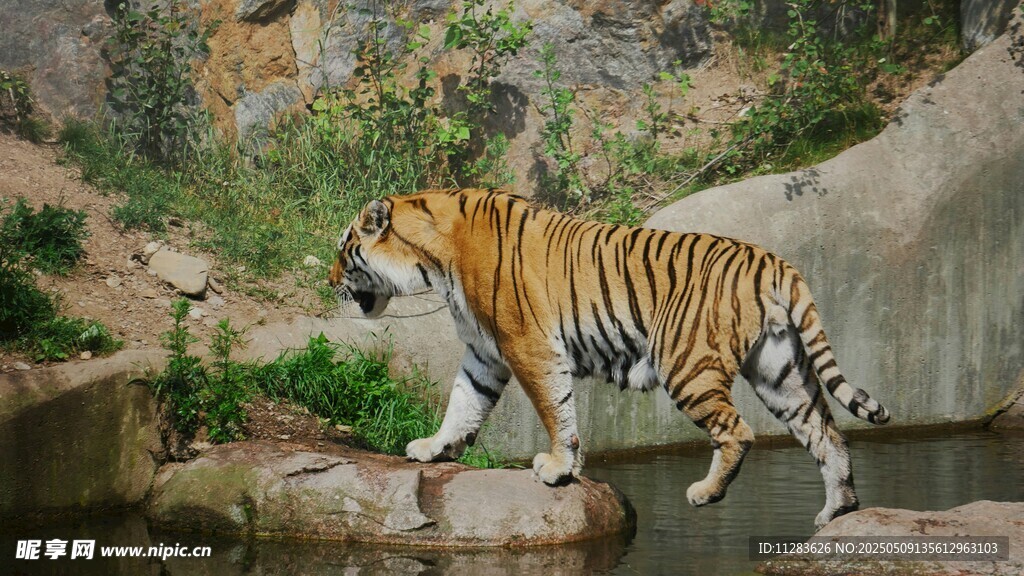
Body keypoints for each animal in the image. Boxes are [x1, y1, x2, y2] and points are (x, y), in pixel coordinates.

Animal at [328, 188, 890, 529]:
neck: (433, 261)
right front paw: (435, 449)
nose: (330, 281)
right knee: (828, 435)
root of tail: (772, 259)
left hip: (685, 363)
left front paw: (557, 468)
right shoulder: (484, 353)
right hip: (781, 371)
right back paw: (838, 513)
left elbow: (555, 408)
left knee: (739, 430)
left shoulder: (526, 345)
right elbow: (463, 402)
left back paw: (705, 492)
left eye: (343, 248)